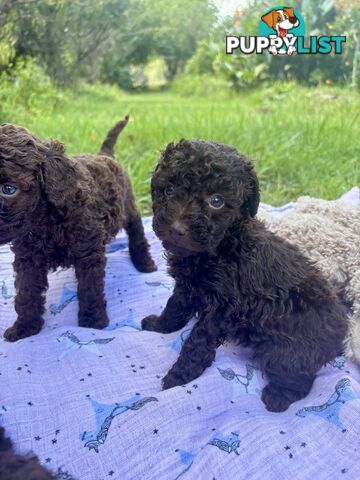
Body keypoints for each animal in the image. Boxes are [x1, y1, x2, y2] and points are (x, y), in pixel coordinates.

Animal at [0, 116, 155, 342]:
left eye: (9, 189)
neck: (45, 220)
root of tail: (104, 155)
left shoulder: (88, 254)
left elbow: (89, 289)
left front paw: (93, 321)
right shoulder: (28, 259)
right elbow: (26, 294)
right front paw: (24, 327)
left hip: (129, 206)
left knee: (137, 233)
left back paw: (144, 263)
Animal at [143, 140, 348, 412]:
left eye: (216, 201)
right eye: (169, 189)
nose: (176, 229)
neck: (222, 246)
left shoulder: (222, 306)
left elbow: (198, 340)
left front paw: (180, 375)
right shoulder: (187, 286)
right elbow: (174, 306)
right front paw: (159, 325)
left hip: (286, 349)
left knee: (300, 377)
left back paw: (278, 397)